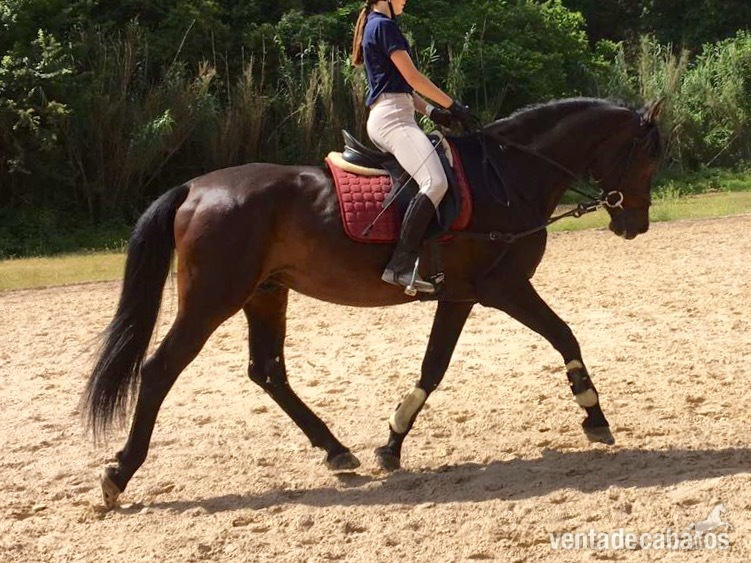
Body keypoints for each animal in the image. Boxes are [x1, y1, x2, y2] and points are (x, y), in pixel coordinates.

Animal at [83, 97, 664, 507]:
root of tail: (194, 188)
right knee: (160, 369)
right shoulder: (505, 287)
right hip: (211, 300)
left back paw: (337, 450)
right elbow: (565, 335)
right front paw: (594, 416)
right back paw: (119, 473)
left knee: (267, 370)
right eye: (649, 156)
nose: (636, 224)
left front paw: (392, 443)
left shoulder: (459, 296)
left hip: (265, 294)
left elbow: (433, 368)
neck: (507, 178)